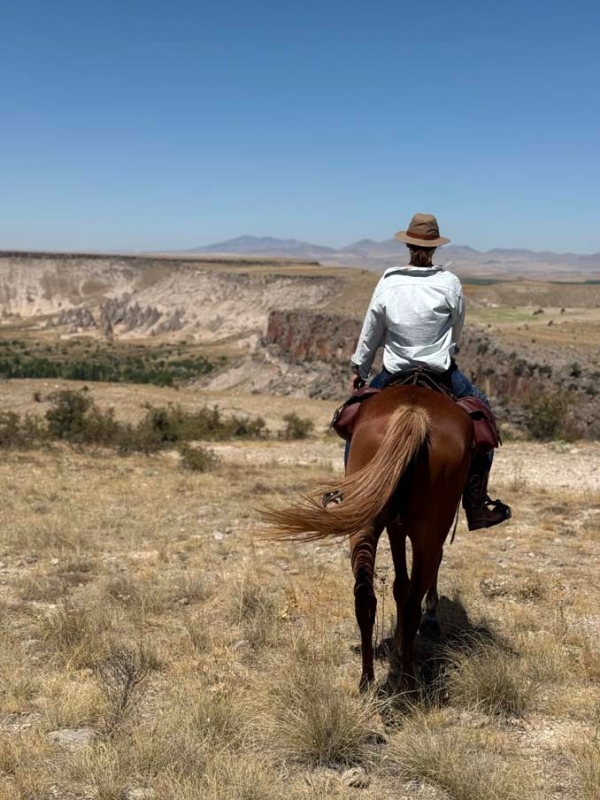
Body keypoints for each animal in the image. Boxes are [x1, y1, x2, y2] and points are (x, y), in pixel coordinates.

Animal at [262, 384, 474, 692]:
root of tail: (414, 412)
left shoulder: (396, 527)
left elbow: (400, 585)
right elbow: (412, 583)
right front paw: (427, 620)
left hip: (367, 523)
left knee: (365, 596)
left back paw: (367, 679)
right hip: (428, 531)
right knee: (413, 604)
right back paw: (408, 684)